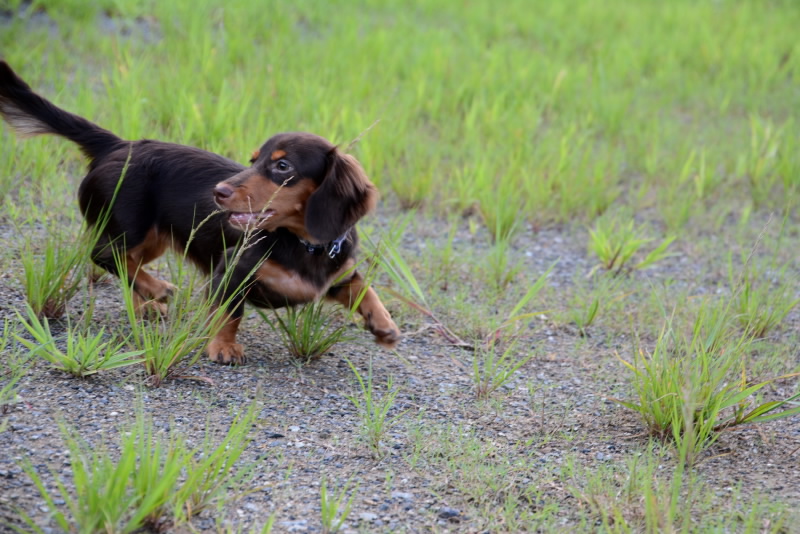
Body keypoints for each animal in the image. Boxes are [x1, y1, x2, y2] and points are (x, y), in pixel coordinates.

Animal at [0, 61, 400, 364]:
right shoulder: (231, 269)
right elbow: (231, 312)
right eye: (253, 160)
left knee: (123, 262)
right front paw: (223, 346)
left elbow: (364, 287)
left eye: (282, 166)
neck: (302, 243)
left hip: (153, 239)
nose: (219, 192)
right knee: (105, 256)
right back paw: (156, 288)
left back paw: (145, 304)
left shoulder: (336, 274)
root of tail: (118, 144)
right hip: (130, 228)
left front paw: (383, 324)